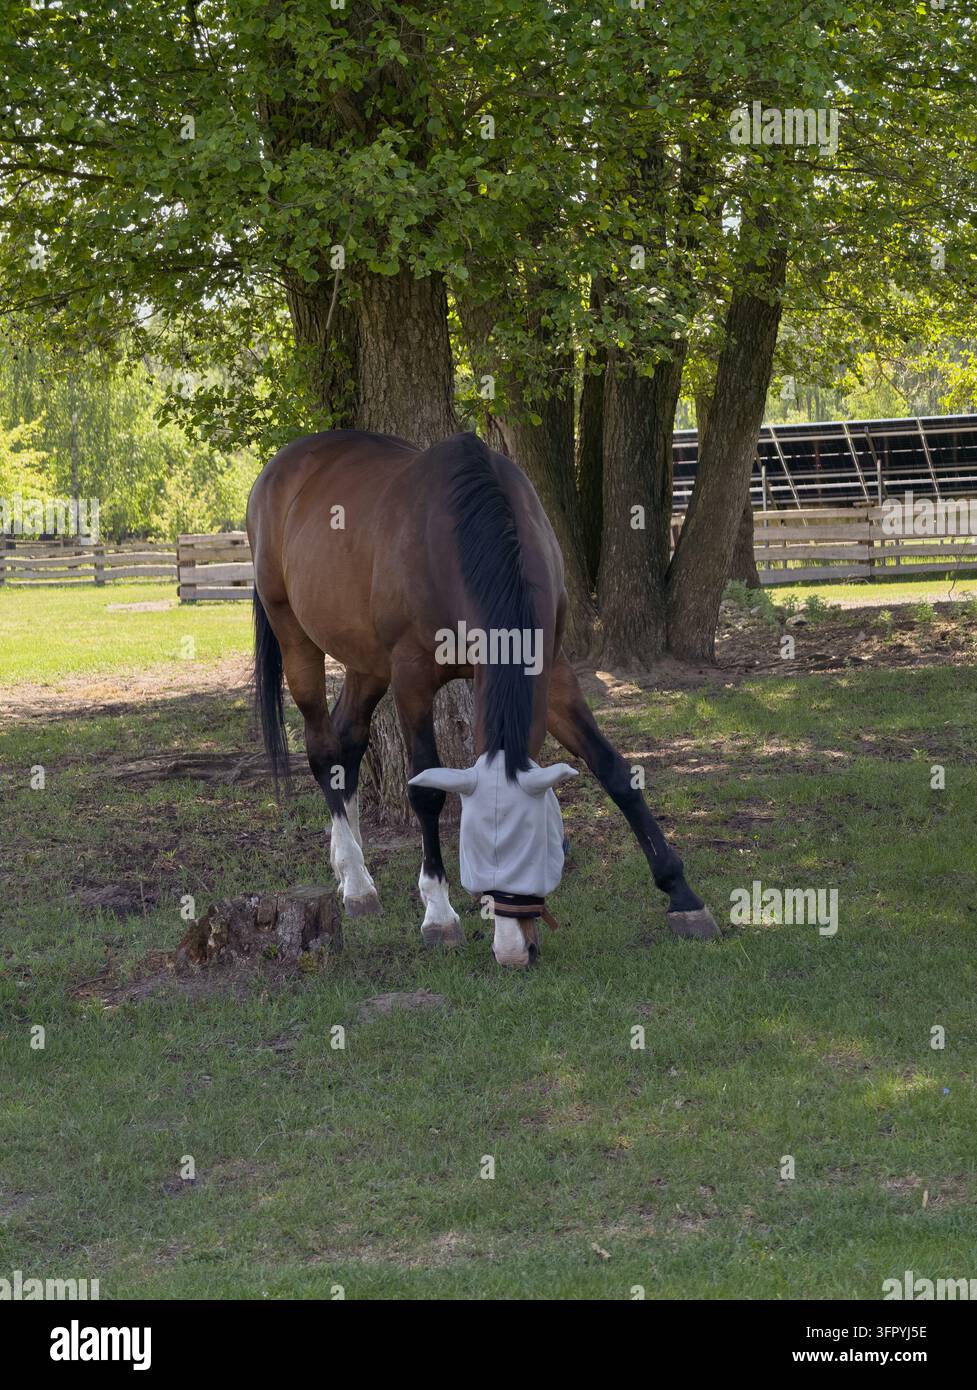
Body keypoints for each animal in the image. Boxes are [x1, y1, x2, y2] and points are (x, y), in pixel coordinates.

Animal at [246, 428, 718, 967]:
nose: (514, 952)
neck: (462, 540)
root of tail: (281, 468)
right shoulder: (412, 678)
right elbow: (426, 790)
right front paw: (439, 914)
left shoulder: (550, 669)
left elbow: (614, 770)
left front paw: (682, 896)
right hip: (296, 638)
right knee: (324, 749)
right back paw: (358, 881)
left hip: (367, 663)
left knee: (348, 742)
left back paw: (351, 874)